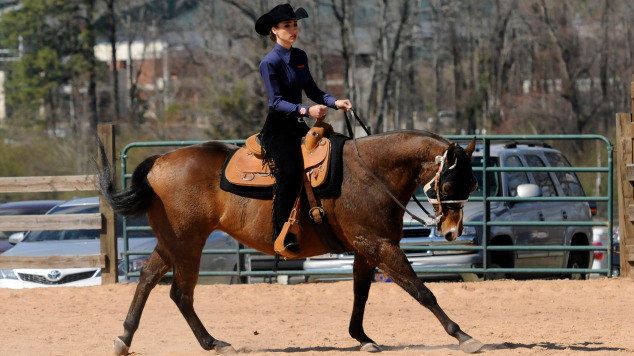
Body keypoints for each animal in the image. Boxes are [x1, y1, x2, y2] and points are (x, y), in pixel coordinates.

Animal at [99, 129, 478, 354]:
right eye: (448, 184)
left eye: (473, 183)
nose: (452, 231)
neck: (370, 172)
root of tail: (158, 163)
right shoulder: (379, 245)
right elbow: (421, 291)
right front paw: (462, 335)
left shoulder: (365, 249)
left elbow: (361, 293)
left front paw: (362, 337)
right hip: (187, 243)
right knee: (180, 293)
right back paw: (212, 342)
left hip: (172, 243)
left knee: (148, 280)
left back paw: (125, 337)